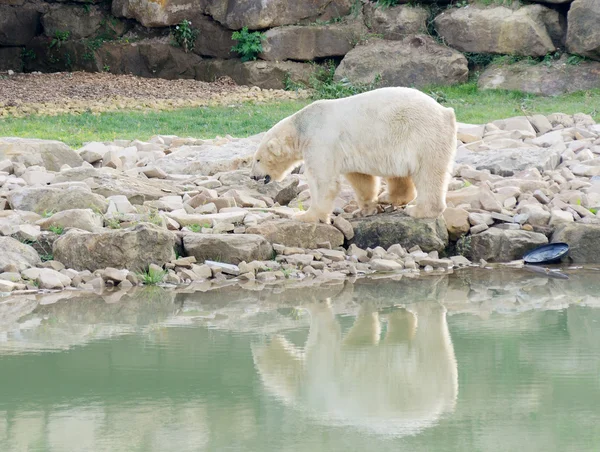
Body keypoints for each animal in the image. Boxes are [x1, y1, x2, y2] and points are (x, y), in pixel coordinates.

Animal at [251, 86, 458, 222]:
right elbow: (361, 178)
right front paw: (365, 210)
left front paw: (305, 215)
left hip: (422, 135)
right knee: (400, 175)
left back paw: (418, 211)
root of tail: (446, 112)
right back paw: (387, 197)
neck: (303, 126)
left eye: (258, 159)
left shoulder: (320, 141)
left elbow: (323, 181)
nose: (253, 176)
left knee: (428, 173)